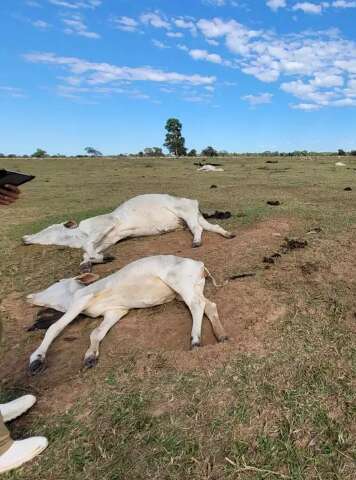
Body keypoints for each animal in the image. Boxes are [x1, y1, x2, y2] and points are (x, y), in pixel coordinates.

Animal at [22, 193, 234, 272]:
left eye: (48, 229)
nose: (25, 238)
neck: (80, 233)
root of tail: (192, 201)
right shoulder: (111, 238)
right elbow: (89, 251)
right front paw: (90, 262)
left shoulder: (107, 224)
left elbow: (88, 246)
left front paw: (98, 259)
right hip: (194, 216)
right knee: (212, 227)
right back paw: (227, 234)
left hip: (187, 214)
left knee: (198, 229)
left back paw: (197, 242)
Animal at [27, 255, 228, 376]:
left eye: (56, 281)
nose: (30, 296)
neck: (71, 297)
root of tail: (199, 264)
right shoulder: (115, 311)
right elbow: (96, 333)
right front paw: (91, 356)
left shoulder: (82, 299)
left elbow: (55, 327)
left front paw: (36, 359)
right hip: (190, 289)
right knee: (210, 305)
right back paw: (221, 335)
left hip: (181, 284)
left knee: (197, 305)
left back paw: (196, 339)